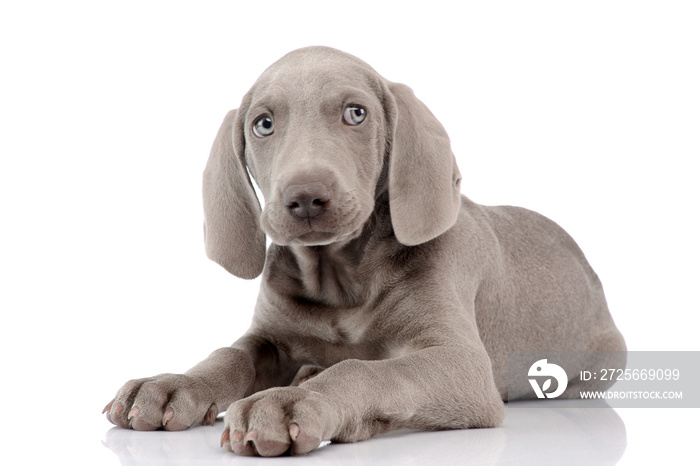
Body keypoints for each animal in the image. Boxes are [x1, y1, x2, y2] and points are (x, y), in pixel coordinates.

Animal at [105, 46, 628, 456]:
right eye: (263, 124)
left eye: (356, 113)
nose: (306, 197)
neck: (340, 279)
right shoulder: (269, 334)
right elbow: (230, 353)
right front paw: (172, 384)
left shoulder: (462, 362)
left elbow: (367, 370)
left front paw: (292, 402)